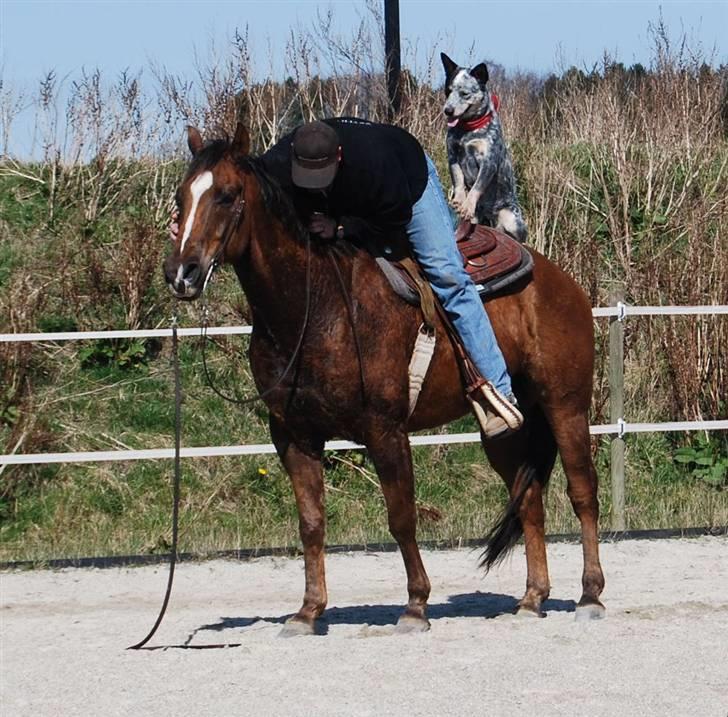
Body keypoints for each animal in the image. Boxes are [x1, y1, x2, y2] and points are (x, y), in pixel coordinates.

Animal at [164, 126, 604, 636]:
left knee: (582, 492)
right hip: (505, 429)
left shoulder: (385, 430)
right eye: (181, 196)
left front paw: (415, 606)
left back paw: (590, 595)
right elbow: (311, 521)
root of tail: (563, 283)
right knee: (528, 498)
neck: (319, 307)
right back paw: (532, 599)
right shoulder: (293, 435)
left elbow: (401, 517)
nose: (181, 272)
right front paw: (308, 610)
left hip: (566, 407)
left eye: (228, 195)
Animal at [440, 52, 528, 243]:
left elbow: (477, 187)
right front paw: (459, 200)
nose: (447, 110)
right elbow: (458, 180)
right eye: (448, 91)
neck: (467, 130)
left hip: (511, 219)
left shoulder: (488, 161)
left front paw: (467, 205)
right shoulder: (452, 155)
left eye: (464, 93)